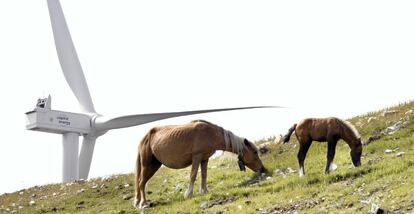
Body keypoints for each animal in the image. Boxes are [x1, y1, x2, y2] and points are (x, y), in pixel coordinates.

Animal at [134, 119, 266, 208]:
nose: (263, 169)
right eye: (255, 152)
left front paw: (204, 191)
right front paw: (188, 194)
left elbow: (204, 175)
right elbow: (193, 175)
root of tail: (144, 138)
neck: (209, 133)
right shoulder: (197, 157)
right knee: (141, 183)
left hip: (154, 165)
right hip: (148, 165)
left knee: (141, 182)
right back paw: (143, 203)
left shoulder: (204, 159)